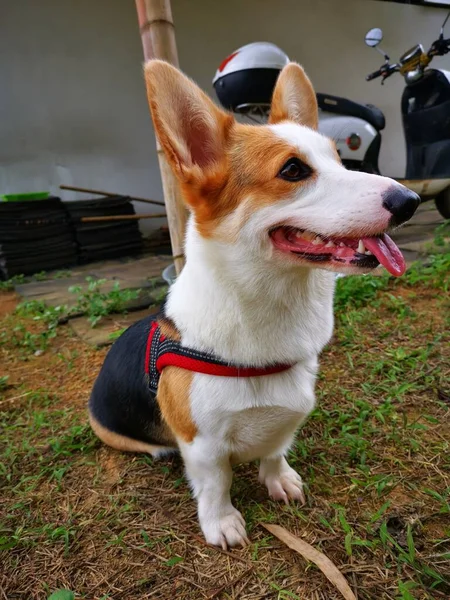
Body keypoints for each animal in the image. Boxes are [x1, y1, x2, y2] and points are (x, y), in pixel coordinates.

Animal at [89, 59, 420, 548]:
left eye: (340, 160)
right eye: (293, 170)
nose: (409, 200)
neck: (270, 302)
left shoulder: (286, 419)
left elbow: (275, 451)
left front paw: (278, 479)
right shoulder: (203, 445)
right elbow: (216, 483)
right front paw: (222, 522)